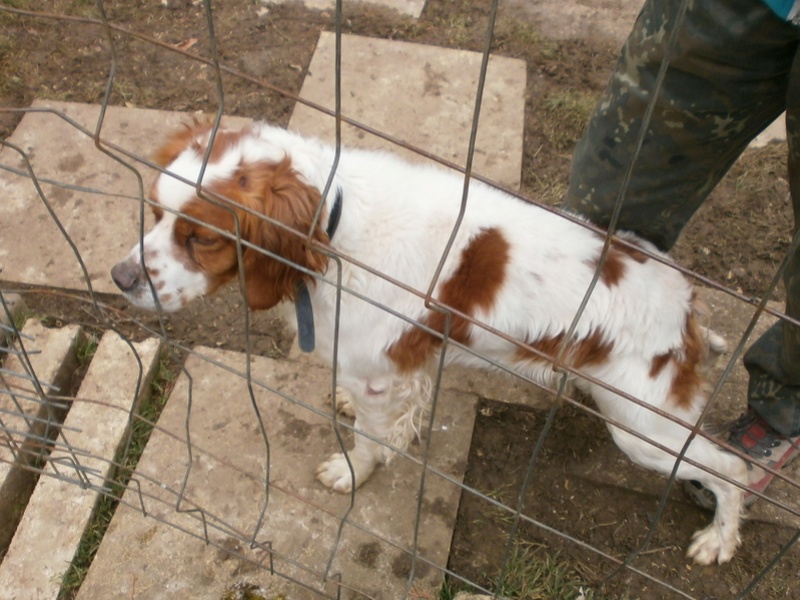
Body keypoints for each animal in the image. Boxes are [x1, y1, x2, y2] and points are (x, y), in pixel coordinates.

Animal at [112, 120, 752, 564]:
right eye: (153, 213)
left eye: (201, 238)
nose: (119, 277)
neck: (333, 234)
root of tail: (685, 301)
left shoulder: (376, 368)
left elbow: (371, 439)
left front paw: (353, 472)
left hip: (643, 429)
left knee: (735, 469)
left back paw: (718, 539)